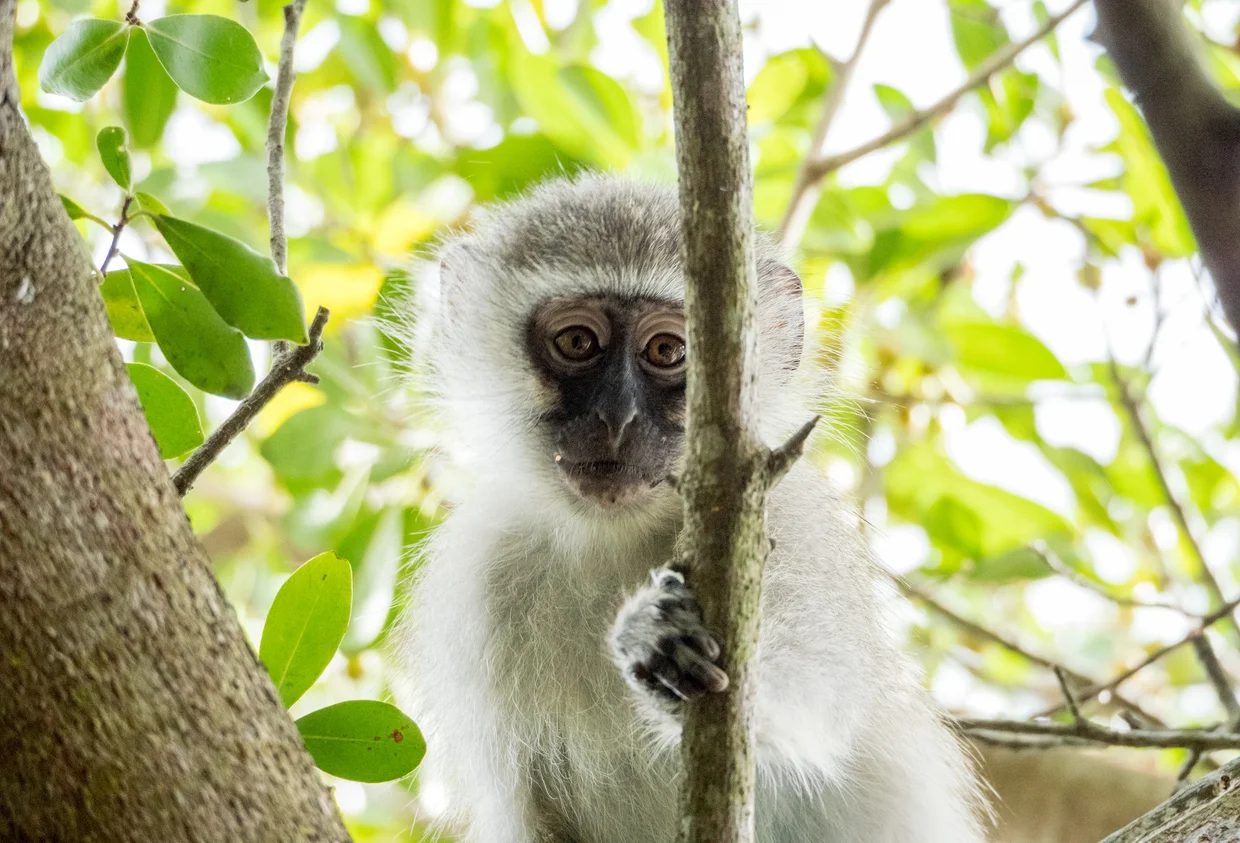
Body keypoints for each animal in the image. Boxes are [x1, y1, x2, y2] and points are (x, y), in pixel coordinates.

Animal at [389, 174, 987, 843]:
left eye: (669, 351)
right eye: (577, 342)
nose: (616, 418)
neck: (615, 539)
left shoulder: (781, 518)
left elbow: (808, 699)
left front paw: (659, 644)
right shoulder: (482, 573)